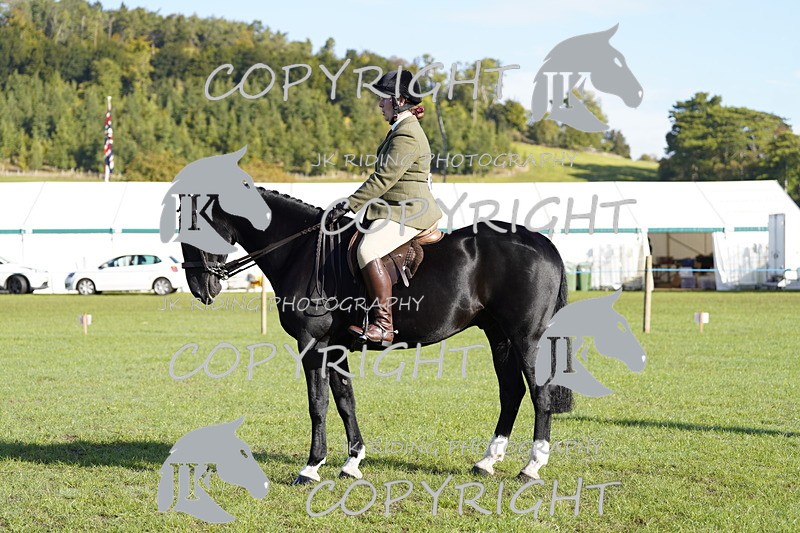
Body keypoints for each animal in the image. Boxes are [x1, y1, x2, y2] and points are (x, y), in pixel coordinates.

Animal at [177, 175, 574, 485]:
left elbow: (318, 403)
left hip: (526, 338)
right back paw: (487, 461)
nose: (200, 288)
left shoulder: (313, 345)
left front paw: (311, 467)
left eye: (194, 224)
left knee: (539, 394)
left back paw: (532, 467)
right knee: (511, 392)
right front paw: (352, 462)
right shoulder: (335, 348)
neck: (301, 251)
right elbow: (345, 401)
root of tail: (541, 242)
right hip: (499, 336)